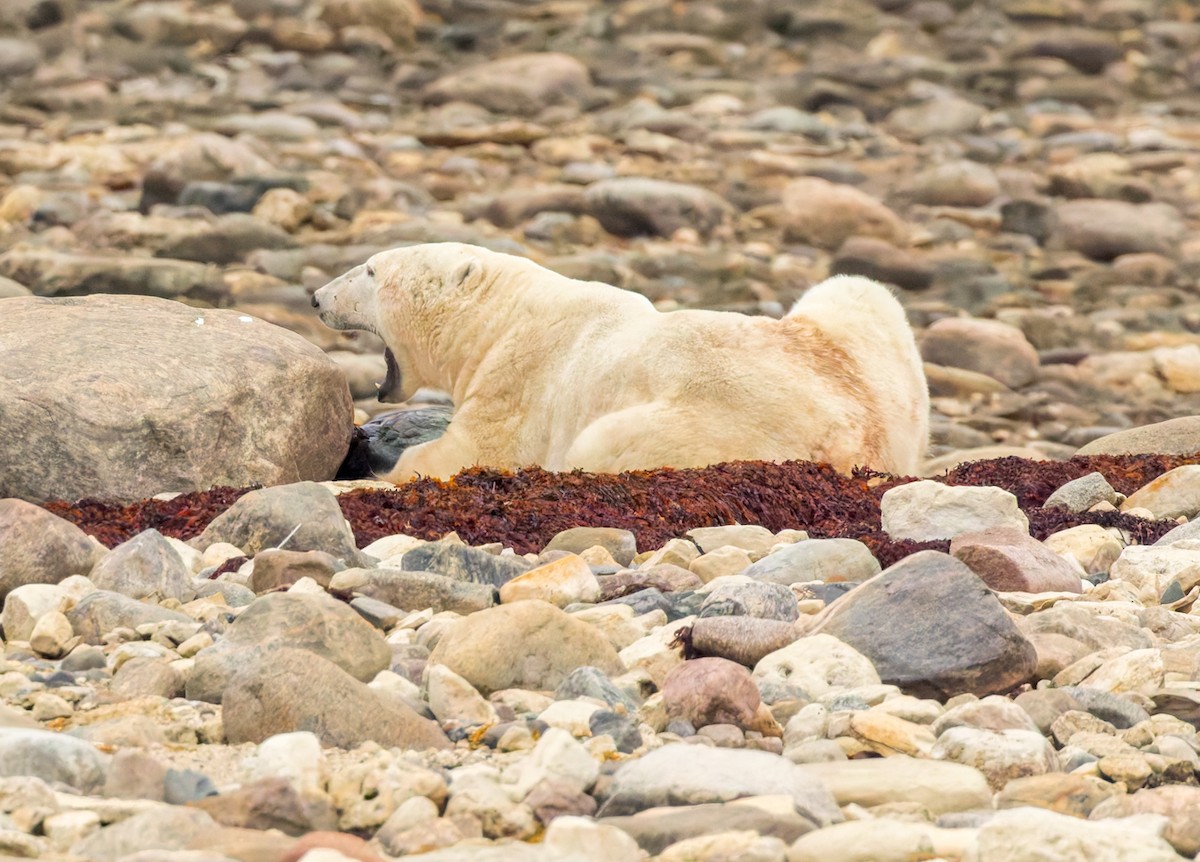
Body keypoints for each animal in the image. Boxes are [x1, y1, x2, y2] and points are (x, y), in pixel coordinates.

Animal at [312, 242, 930, 483]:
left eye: (370, 270)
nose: (316, 297)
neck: (505, 315)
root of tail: (865, 445)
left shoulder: (519, 384)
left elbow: (463, 453)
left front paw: (380, 470)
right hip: (866, 339)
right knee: (857, 288)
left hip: (702, 430)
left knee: (599, 444)